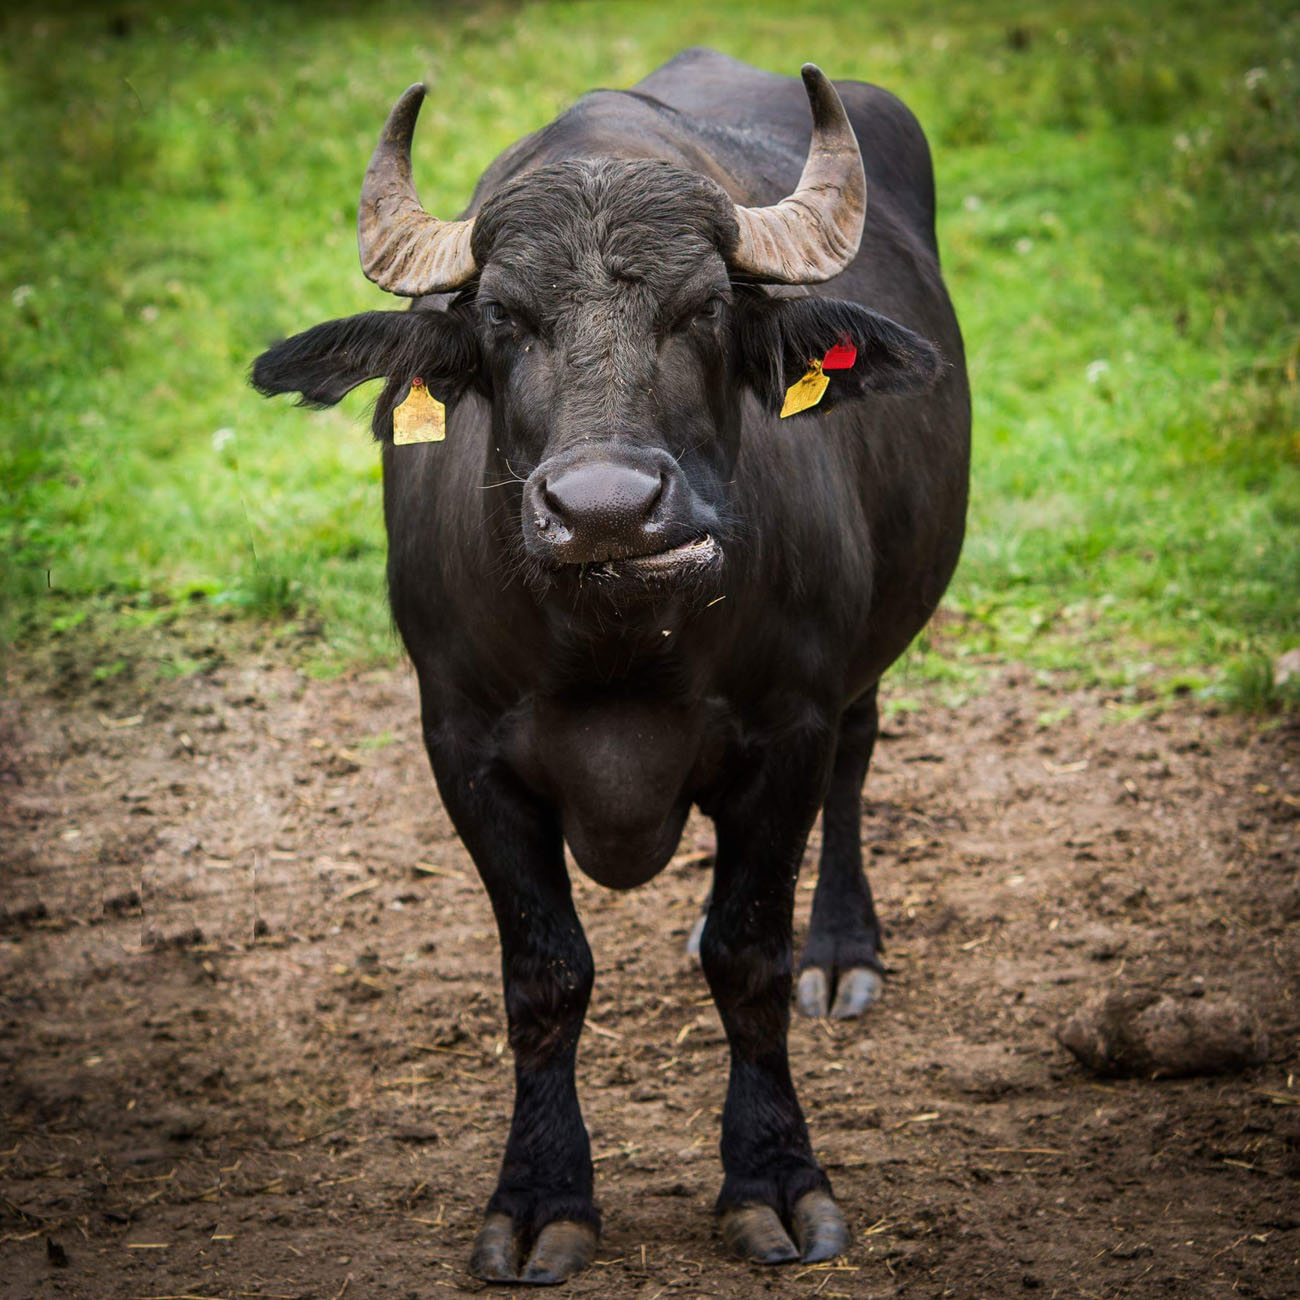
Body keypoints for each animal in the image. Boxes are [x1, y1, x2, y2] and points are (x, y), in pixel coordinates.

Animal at [253, 45, 967, 1284]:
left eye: (704, 308)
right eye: (501, 316)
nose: (604, 508)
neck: (620, 635)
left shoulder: (784, 732)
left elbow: (746, 959)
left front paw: (776, 1182)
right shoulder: (464, 749)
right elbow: (546, 974)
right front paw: (541, 1198)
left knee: (857, 757)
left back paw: (838, 948)